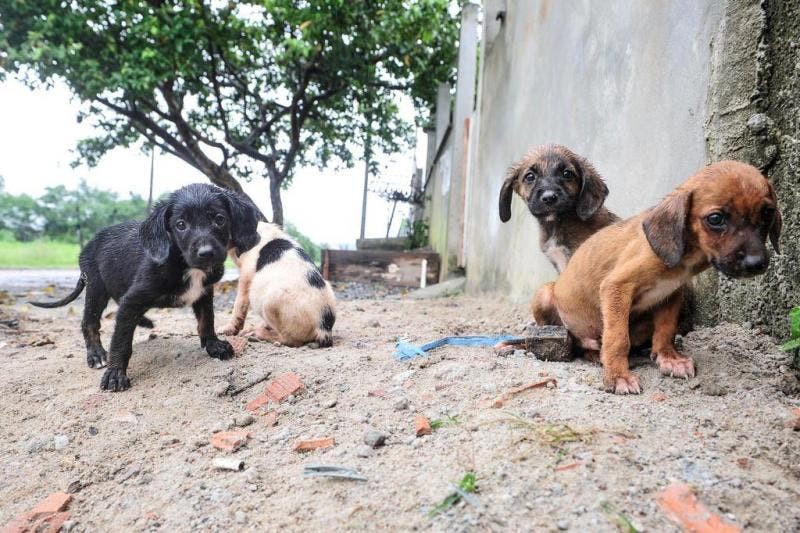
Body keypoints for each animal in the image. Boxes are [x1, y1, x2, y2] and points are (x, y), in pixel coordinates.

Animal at [28, 183, 258, 390]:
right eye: (181, 224)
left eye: (219, 219)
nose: (206, 253)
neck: (182, 263)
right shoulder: (134, 298)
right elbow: (120, 339)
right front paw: (115, 373)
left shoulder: (204, 292)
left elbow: (206, 320)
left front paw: (213, 344)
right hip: (96, 287)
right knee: (90, 322)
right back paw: (96, 355)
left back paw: (144, 322)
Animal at [532, 160, 780, 392]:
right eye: (716, 219)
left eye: (768, 213)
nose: (756, 263)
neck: (686, 254)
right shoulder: (617, 286)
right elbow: (617, 338)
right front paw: (618, 376)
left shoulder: (671, 294)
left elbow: (665, 330)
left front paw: (669, 358)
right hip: (545, 294)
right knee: (579, 342)